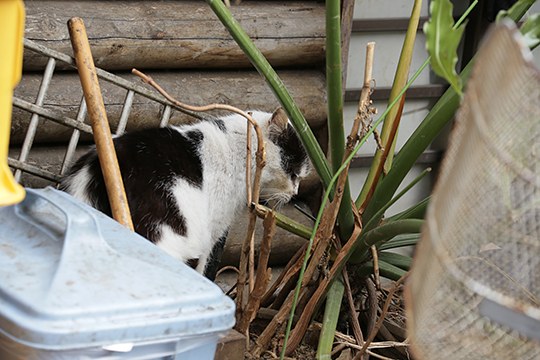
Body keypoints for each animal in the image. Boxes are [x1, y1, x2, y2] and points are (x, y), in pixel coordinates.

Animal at [59, 107, 310, 276]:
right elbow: (202, 268)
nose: (296, 192)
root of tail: (96, 171)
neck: (239, 150)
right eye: (294, 173)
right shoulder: (213, 231)